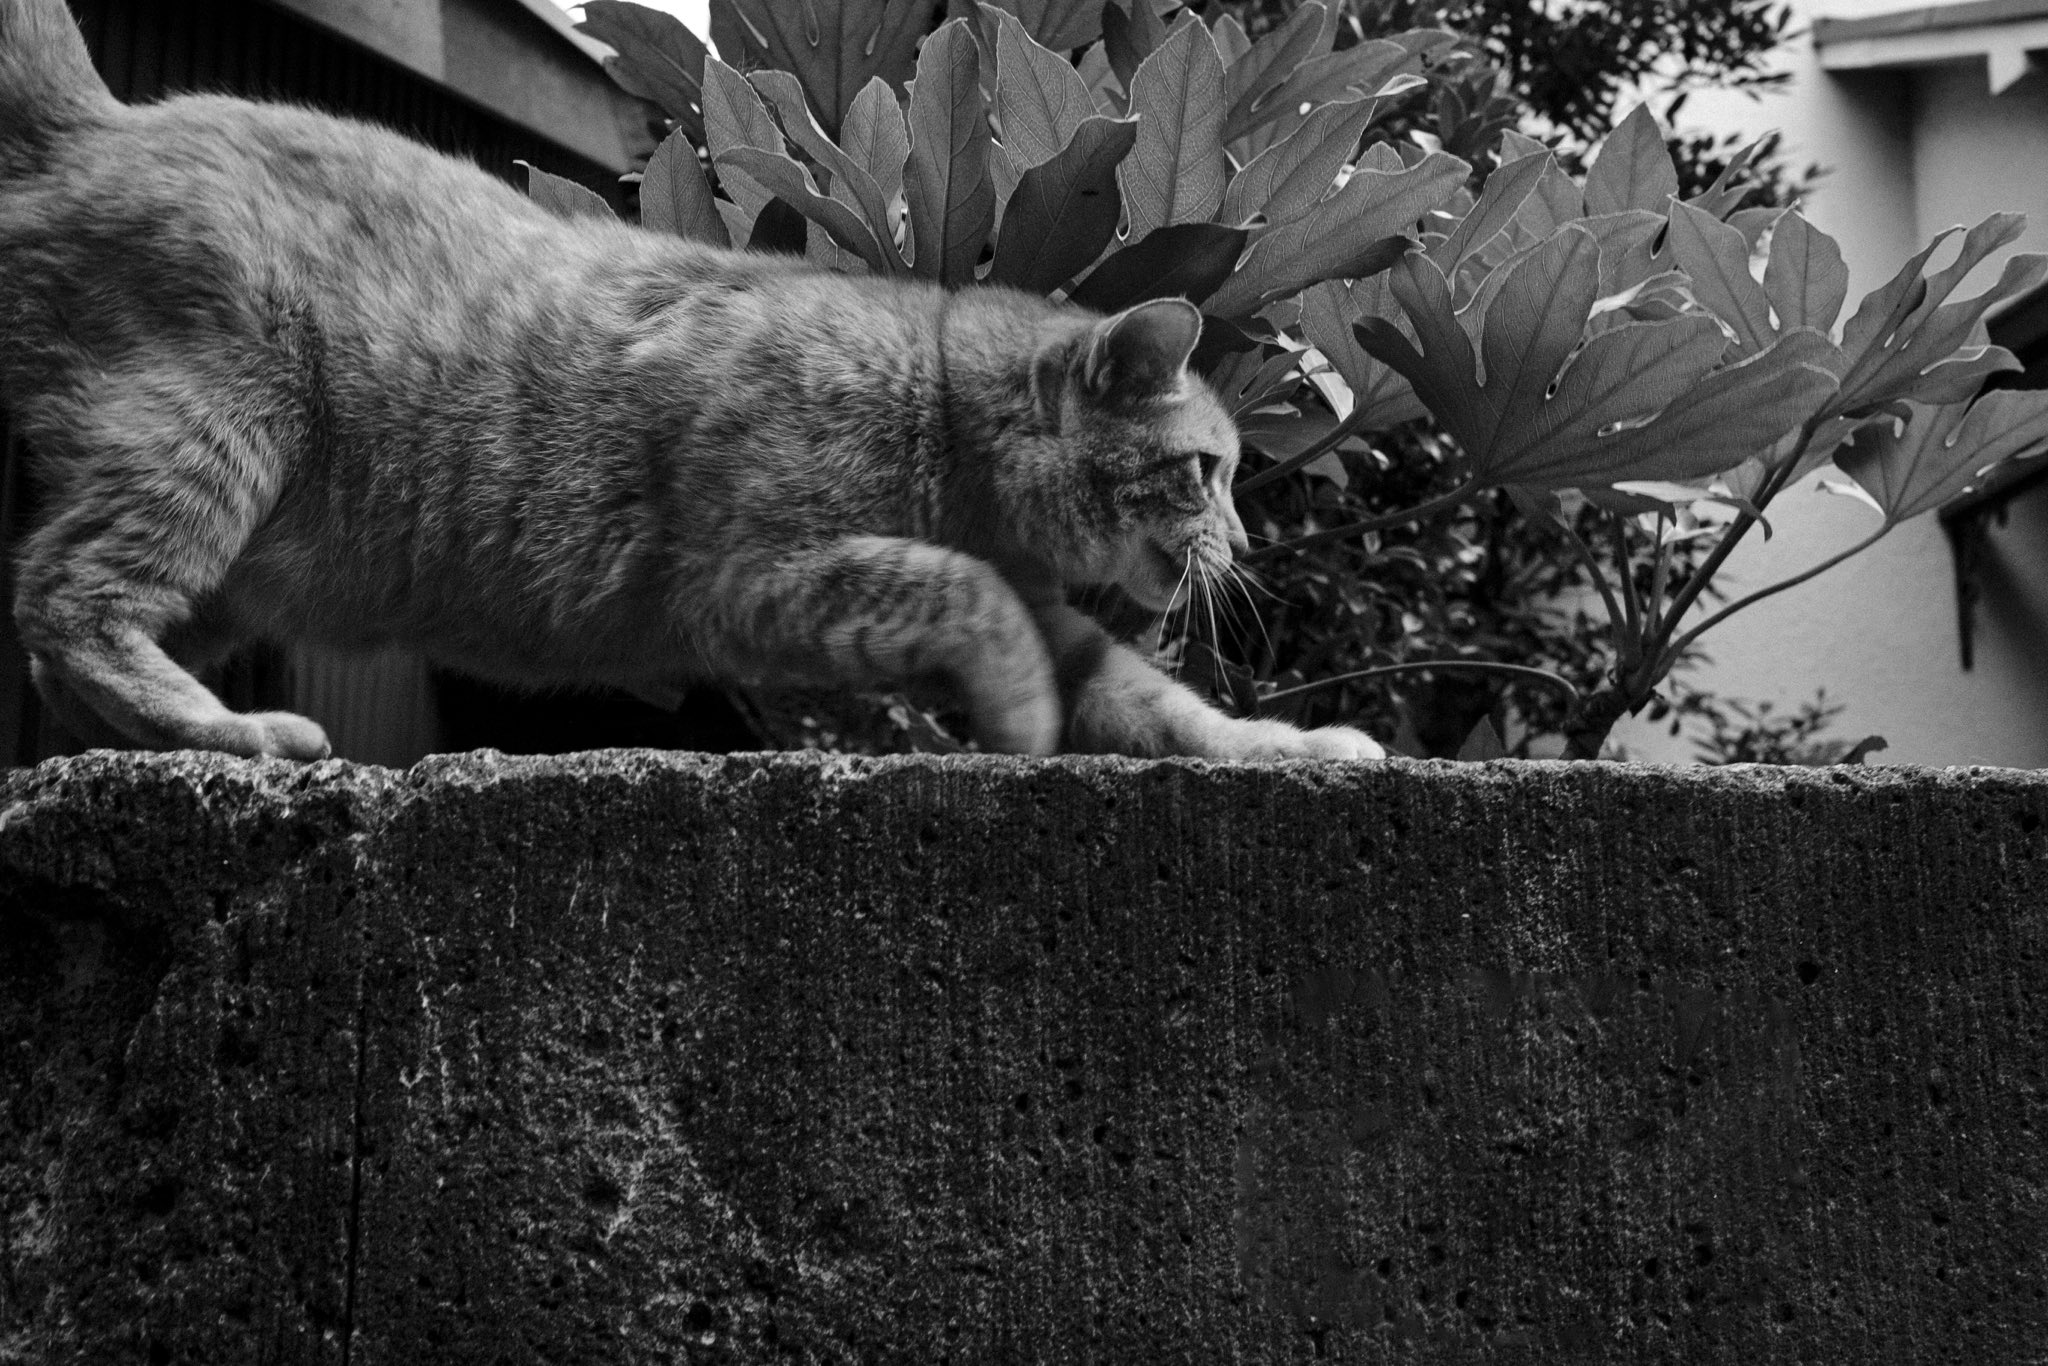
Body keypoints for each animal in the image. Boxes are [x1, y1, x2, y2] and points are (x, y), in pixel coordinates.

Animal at [0, 0, 1382, 763]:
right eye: (1205, 471)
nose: (1244, 543)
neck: (929, 400)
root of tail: (102, 119)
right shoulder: (749, 580)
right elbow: (968, 594)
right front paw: (1022, 722)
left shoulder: (1063, 621)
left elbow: (1163, 705)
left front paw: (1284, 740)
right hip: (209, 439)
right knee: (64, 602)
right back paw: (234, 735)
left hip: (231, 560)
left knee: (54, 663)